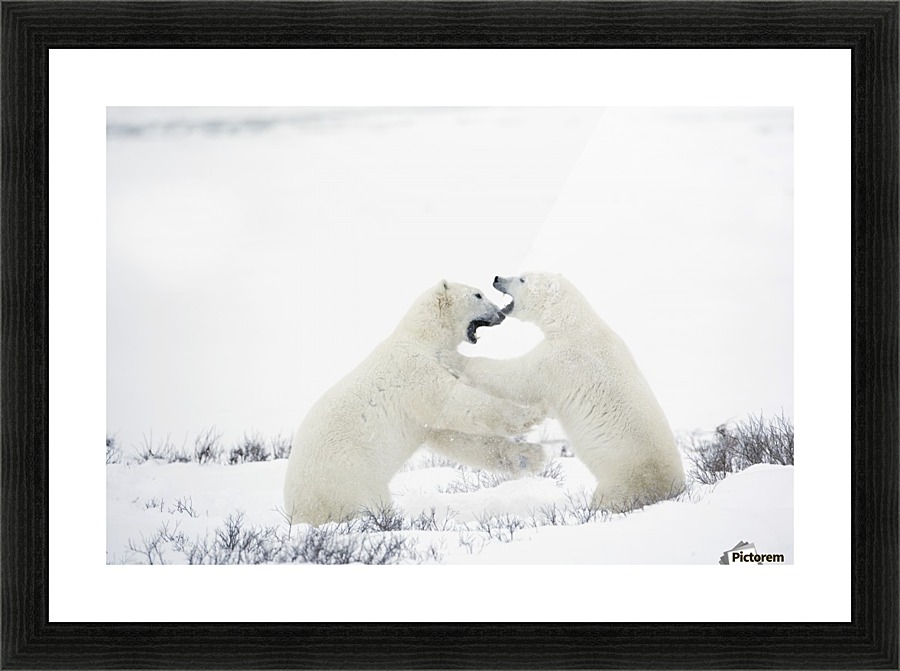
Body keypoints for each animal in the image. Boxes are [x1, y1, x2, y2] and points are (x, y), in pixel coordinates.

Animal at [283, 279, 547, 526]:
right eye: (478, 295)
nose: (500, 313)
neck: (421, 339)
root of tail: (297, 511)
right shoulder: (415, 372)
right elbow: (456, 404)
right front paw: (532, 414)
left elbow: (453, 437)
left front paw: (530, 456)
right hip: (350, 475)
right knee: (371, 503)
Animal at [454, 272, 685, 513]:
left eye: (522, 279)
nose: (497, 278)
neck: (572, 323)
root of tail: (674, 487)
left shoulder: (563, 359)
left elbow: (519, 379)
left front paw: (457, 359)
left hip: (625, 477)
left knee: (612, 496)